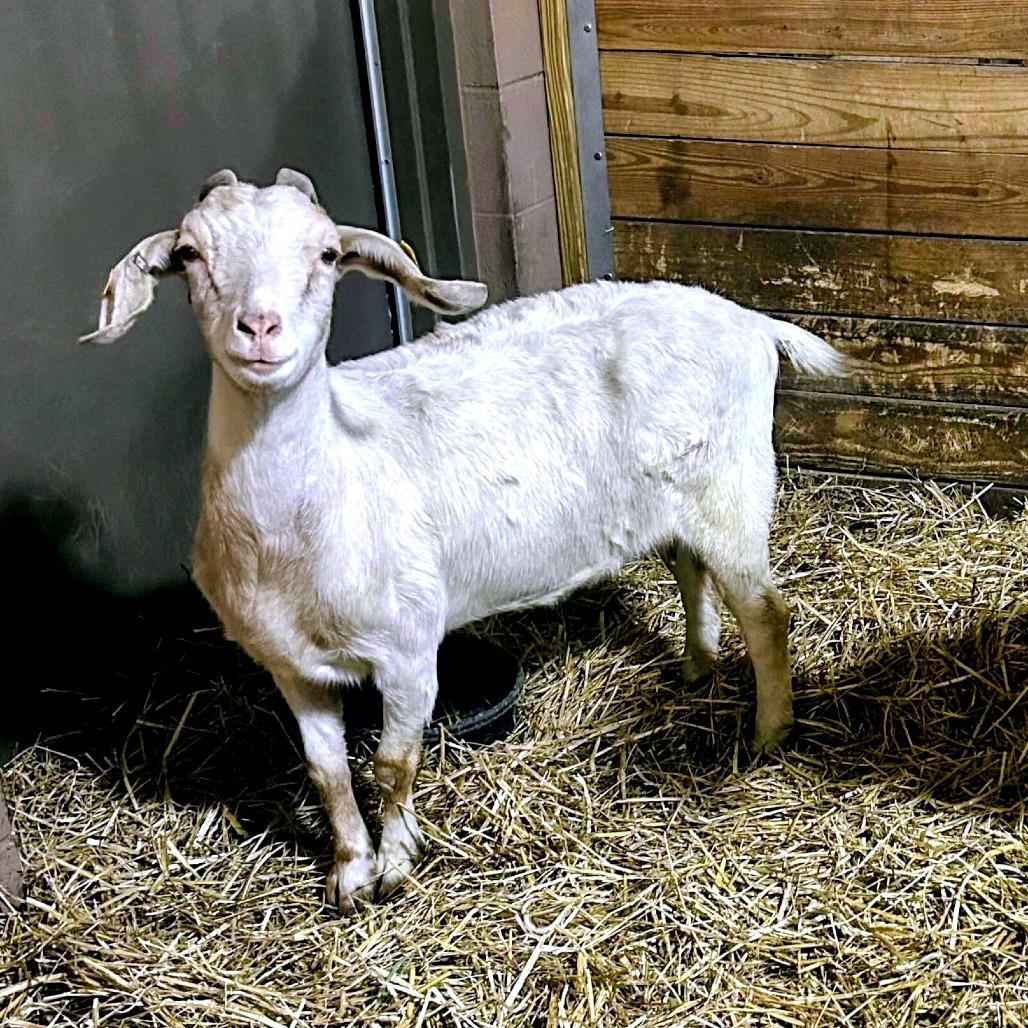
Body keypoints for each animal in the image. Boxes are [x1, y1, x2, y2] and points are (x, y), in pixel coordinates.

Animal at [81, 168, 853, 912]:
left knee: (767, 612)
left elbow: (392, 766)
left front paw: (395, 868)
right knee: (690, 568)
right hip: (673, 497)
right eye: (189, 254)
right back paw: (696, 663)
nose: (261, 328)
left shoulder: (407, 651)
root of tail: (748, 319)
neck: (318, 499)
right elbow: (327, 773)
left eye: (327, 254)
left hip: (733, 488)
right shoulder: (291, 668)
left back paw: (769, 731)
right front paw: (349, 872)